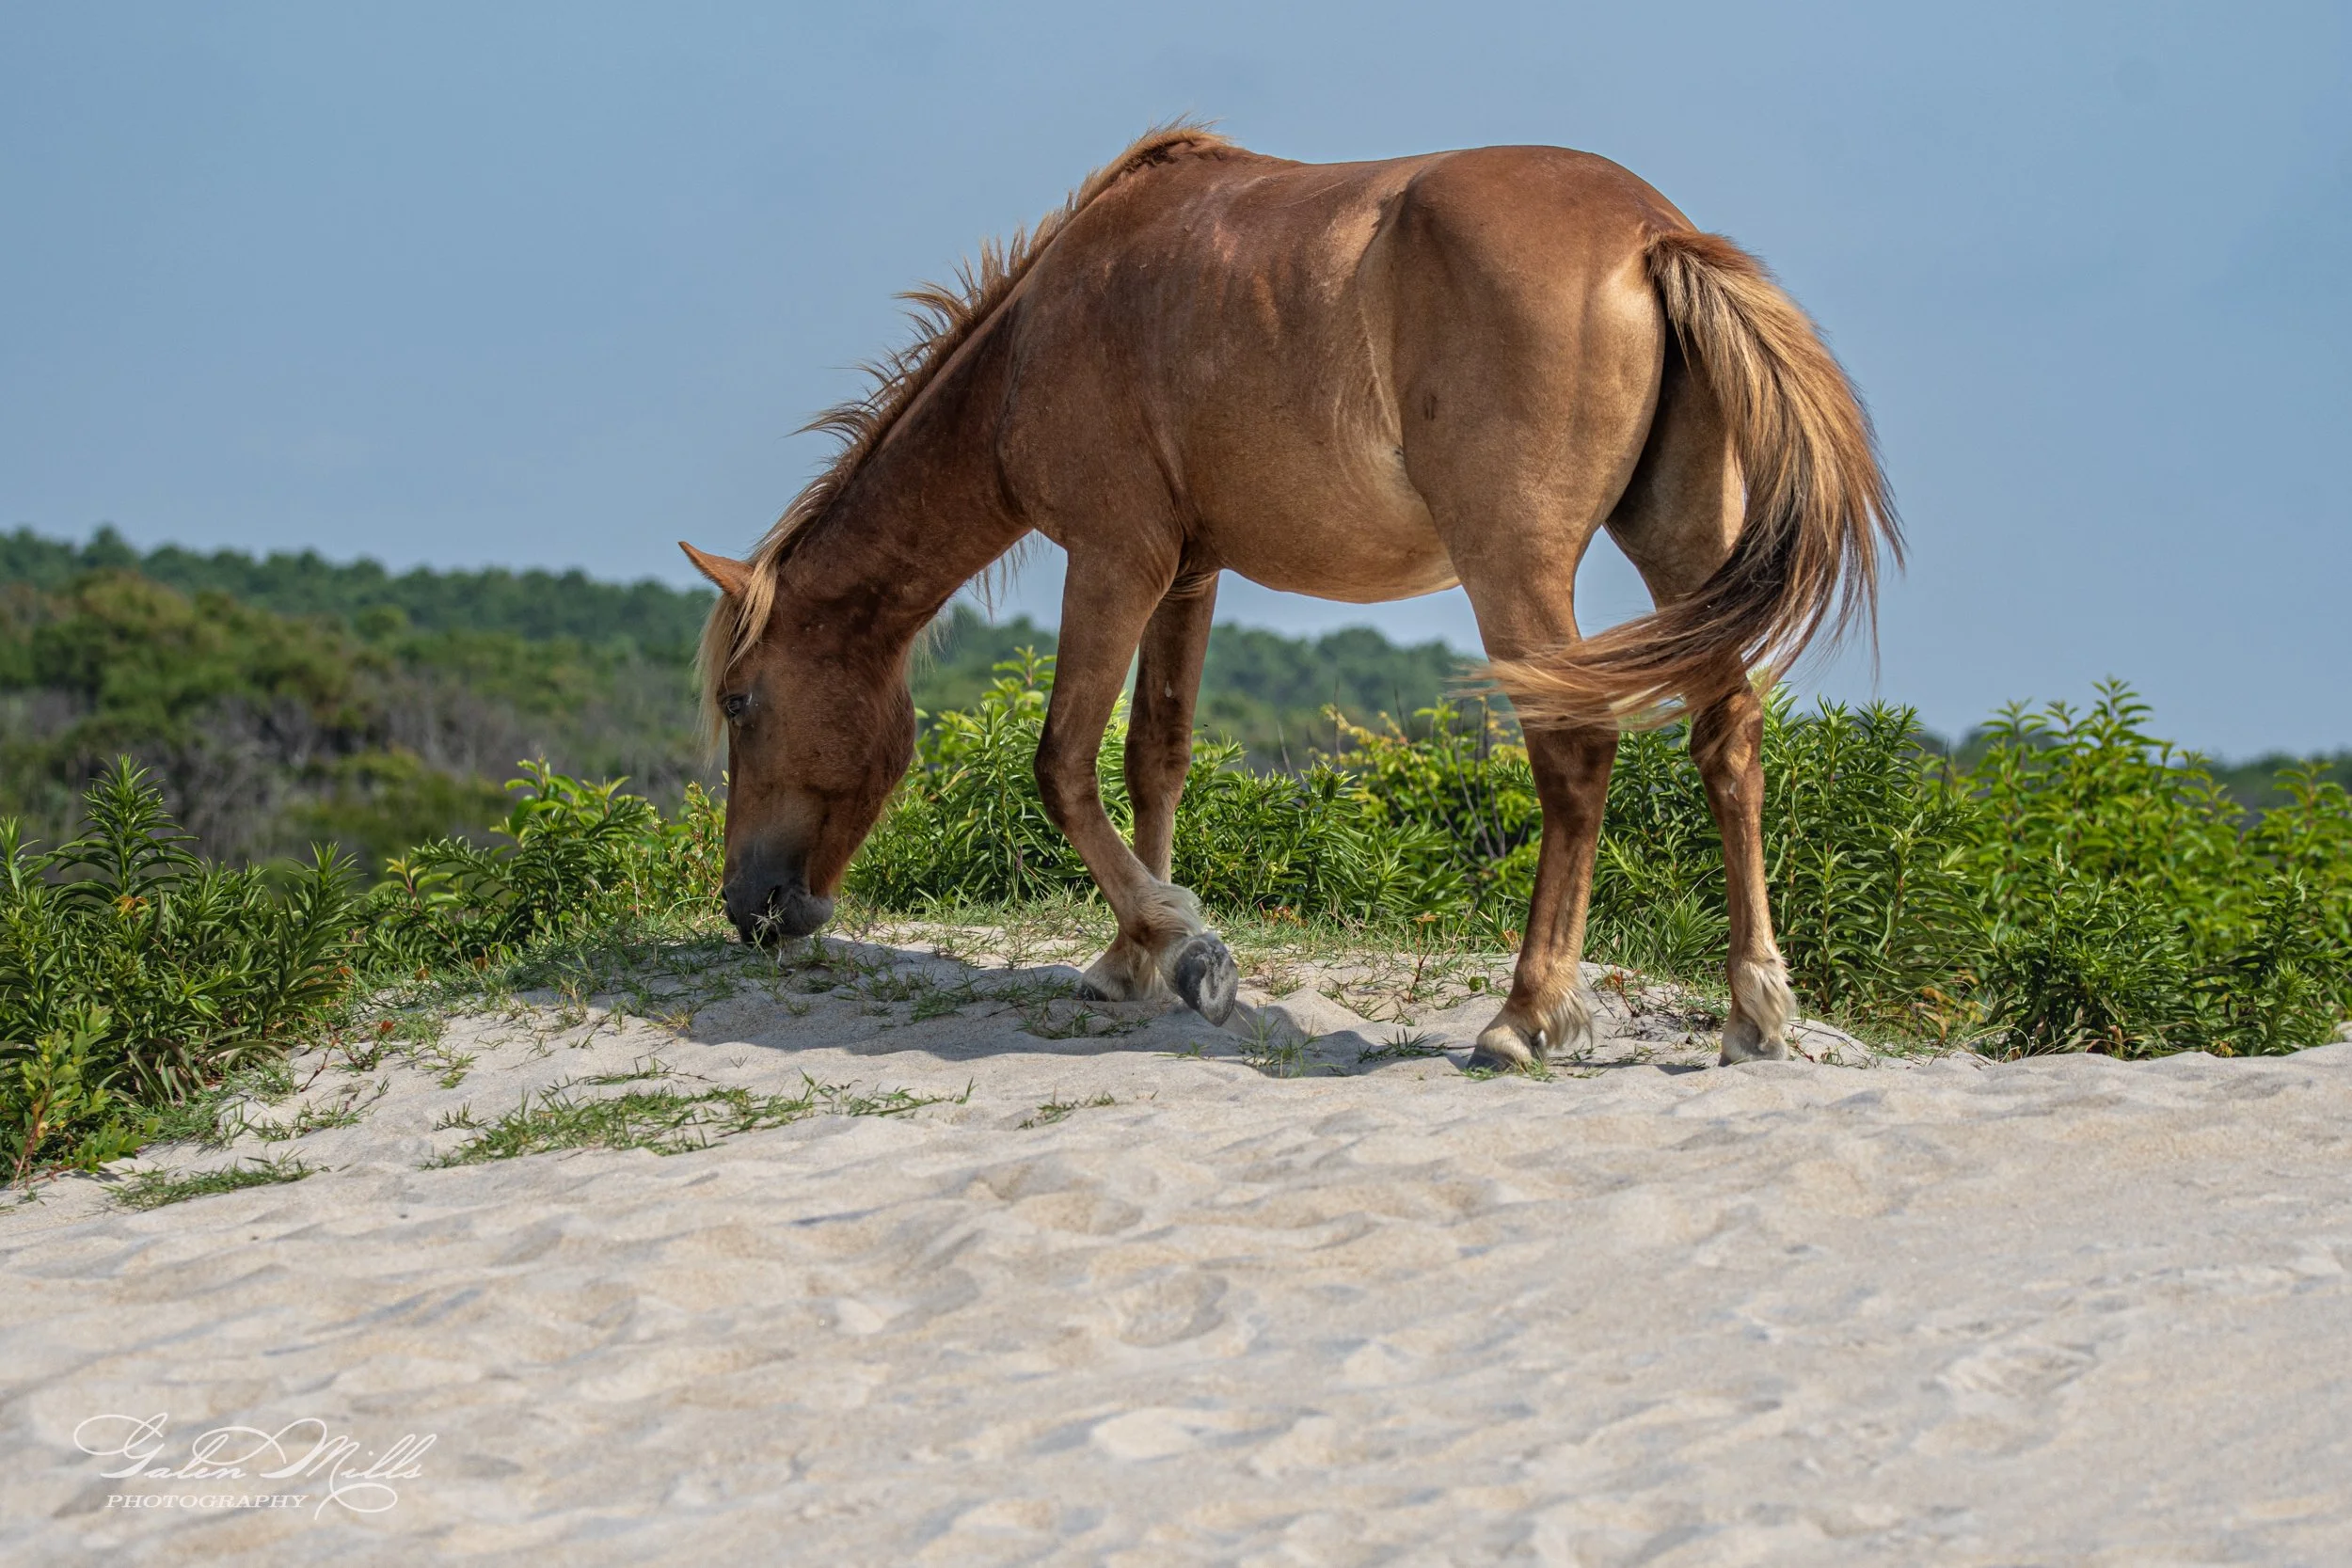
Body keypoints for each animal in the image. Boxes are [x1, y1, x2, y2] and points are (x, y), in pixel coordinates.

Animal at [680, 123, 1899, 1070]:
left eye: (740, 701)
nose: (749, 907)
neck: (1040, 331)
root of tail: (1650, 235)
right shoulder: (1187, 569)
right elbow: (1154, 755)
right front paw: (1134, 956)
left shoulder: (1112, 559)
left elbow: (1062, 762)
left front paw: (1181, 943)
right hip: (1682, 548)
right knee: (1727, 738)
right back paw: (1753, 1012)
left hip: (1517, 571)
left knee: (1577, 753)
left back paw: (1523, 1014)